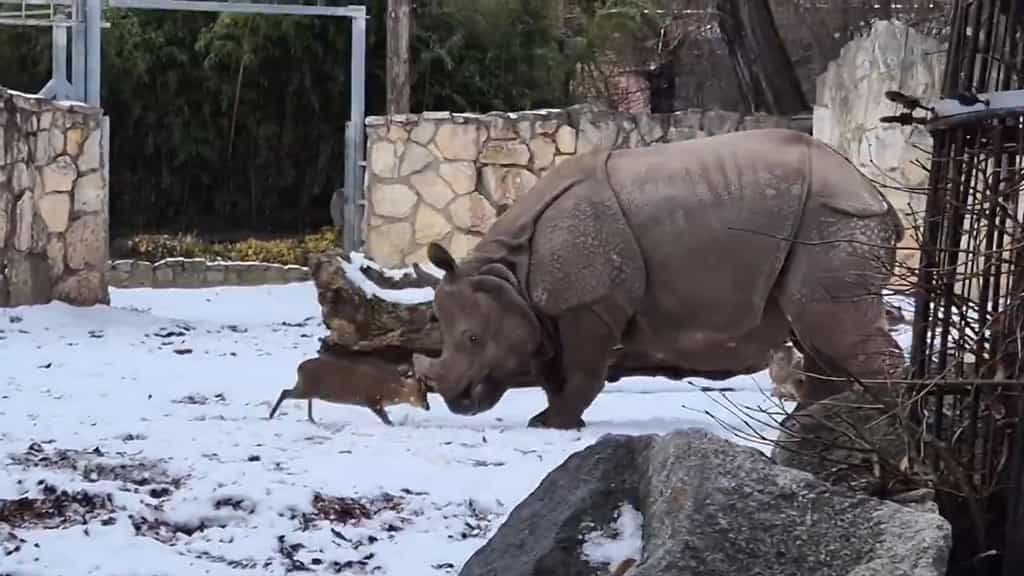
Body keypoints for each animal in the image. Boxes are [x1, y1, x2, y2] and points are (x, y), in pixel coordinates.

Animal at [412, 128, 907, 429]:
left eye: (473, 339)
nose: (456, 399)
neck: (508, 273)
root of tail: (875, 192)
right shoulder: (551, 309)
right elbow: (553, 369)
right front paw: (552, 420)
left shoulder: (589, 301)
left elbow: (582, 368)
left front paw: (555, 423)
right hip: (825, 220)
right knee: (815, 329)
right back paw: (809, 424)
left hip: (835, 218)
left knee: (827, 321)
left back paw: (877, 426)